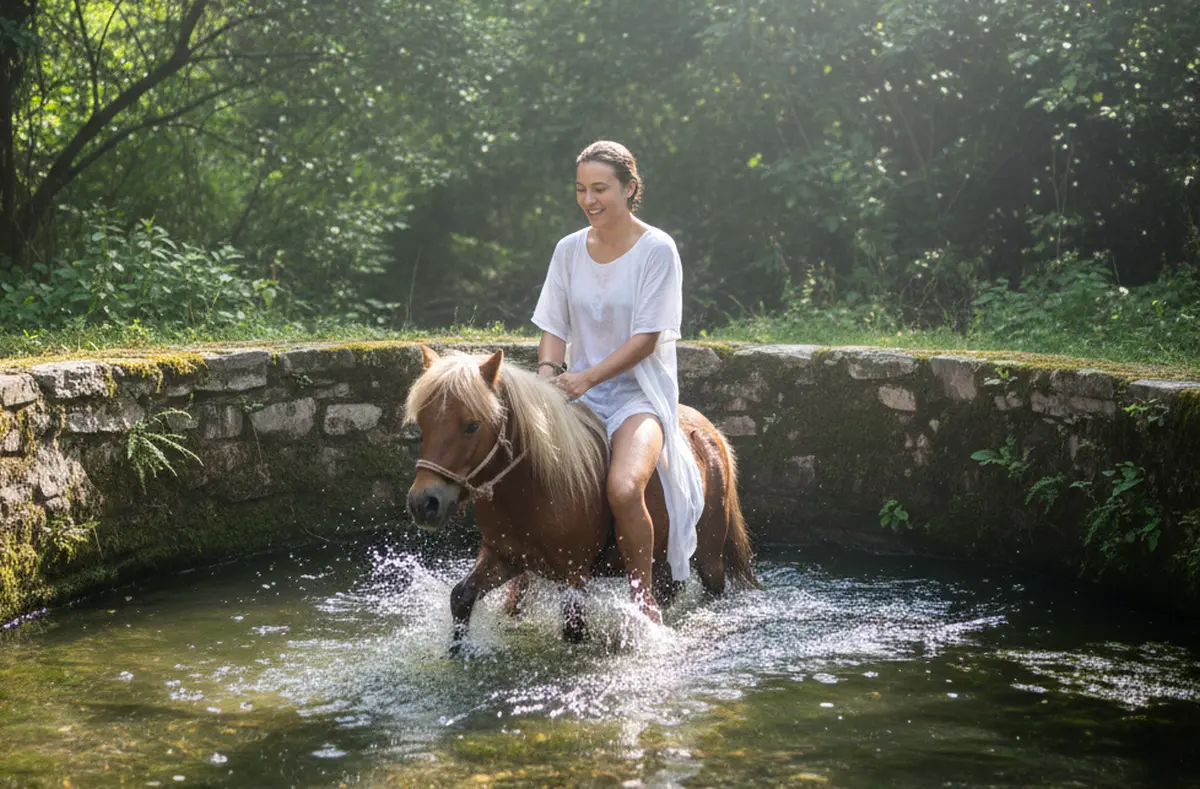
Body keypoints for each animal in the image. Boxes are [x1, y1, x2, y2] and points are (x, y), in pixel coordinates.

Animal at [403, 345, 757, 651]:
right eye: (423, 422)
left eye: (473, 426)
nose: (424, 502)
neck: (535, 487)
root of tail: (712, 432)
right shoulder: (504, 557)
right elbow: (461, 597)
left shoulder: (574, 576)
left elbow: (573, 630)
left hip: (709, 555)